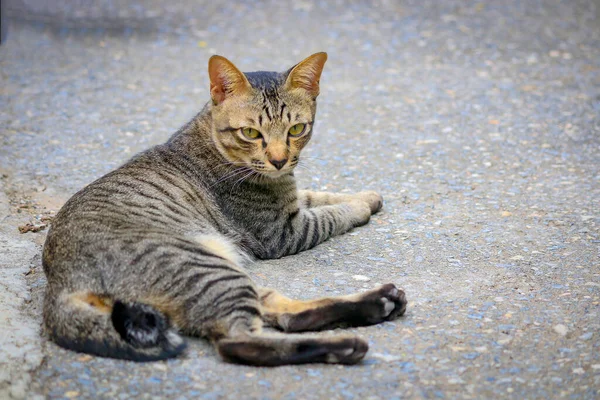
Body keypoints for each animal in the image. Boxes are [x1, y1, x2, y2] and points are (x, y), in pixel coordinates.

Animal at [42, 52, 408, 366]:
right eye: (250, 133)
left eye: (296, 129)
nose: (279, 160)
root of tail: (60, 287)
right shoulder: (284, 231)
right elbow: (330, 215)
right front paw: (359, 206)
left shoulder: (291, 201)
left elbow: (318, 195)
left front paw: (366, 195)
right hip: (208, 268)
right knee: (241, 342)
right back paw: (345, 344)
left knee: (282, 314)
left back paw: (379, 303)